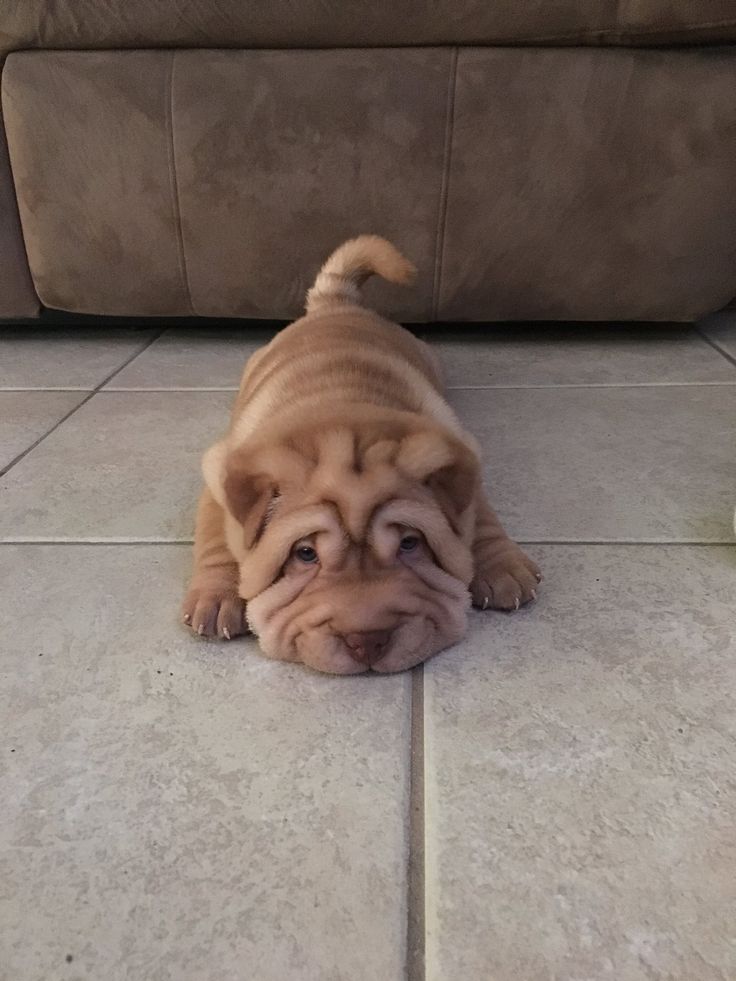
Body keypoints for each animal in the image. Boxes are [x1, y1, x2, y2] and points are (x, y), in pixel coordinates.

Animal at [184, 235, 540, 672]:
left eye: (410, 544)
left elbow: (482, 519)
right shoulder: (219, 473)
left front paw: (504, 567)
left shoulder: (462, 458)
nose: (367, 641)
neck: (343, 404)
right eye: (305, 554)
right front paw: (217, 596)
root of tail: (336, 302)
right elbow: (217, 537)